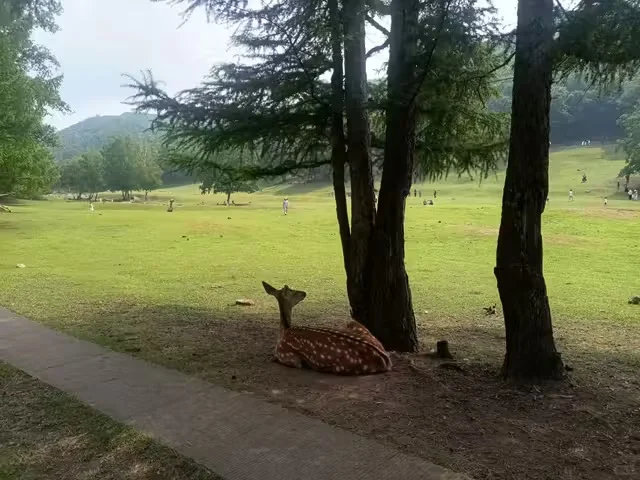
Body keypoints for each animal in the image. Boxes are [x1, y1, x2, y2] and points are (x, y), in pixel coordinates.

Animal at [262, 281, 392, 375]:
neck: (284, 330)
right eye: (292, 291)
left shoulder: (289, 357)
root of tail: (386, 359)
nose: (304, 293)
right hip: (354, 324)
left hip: (342, 366)